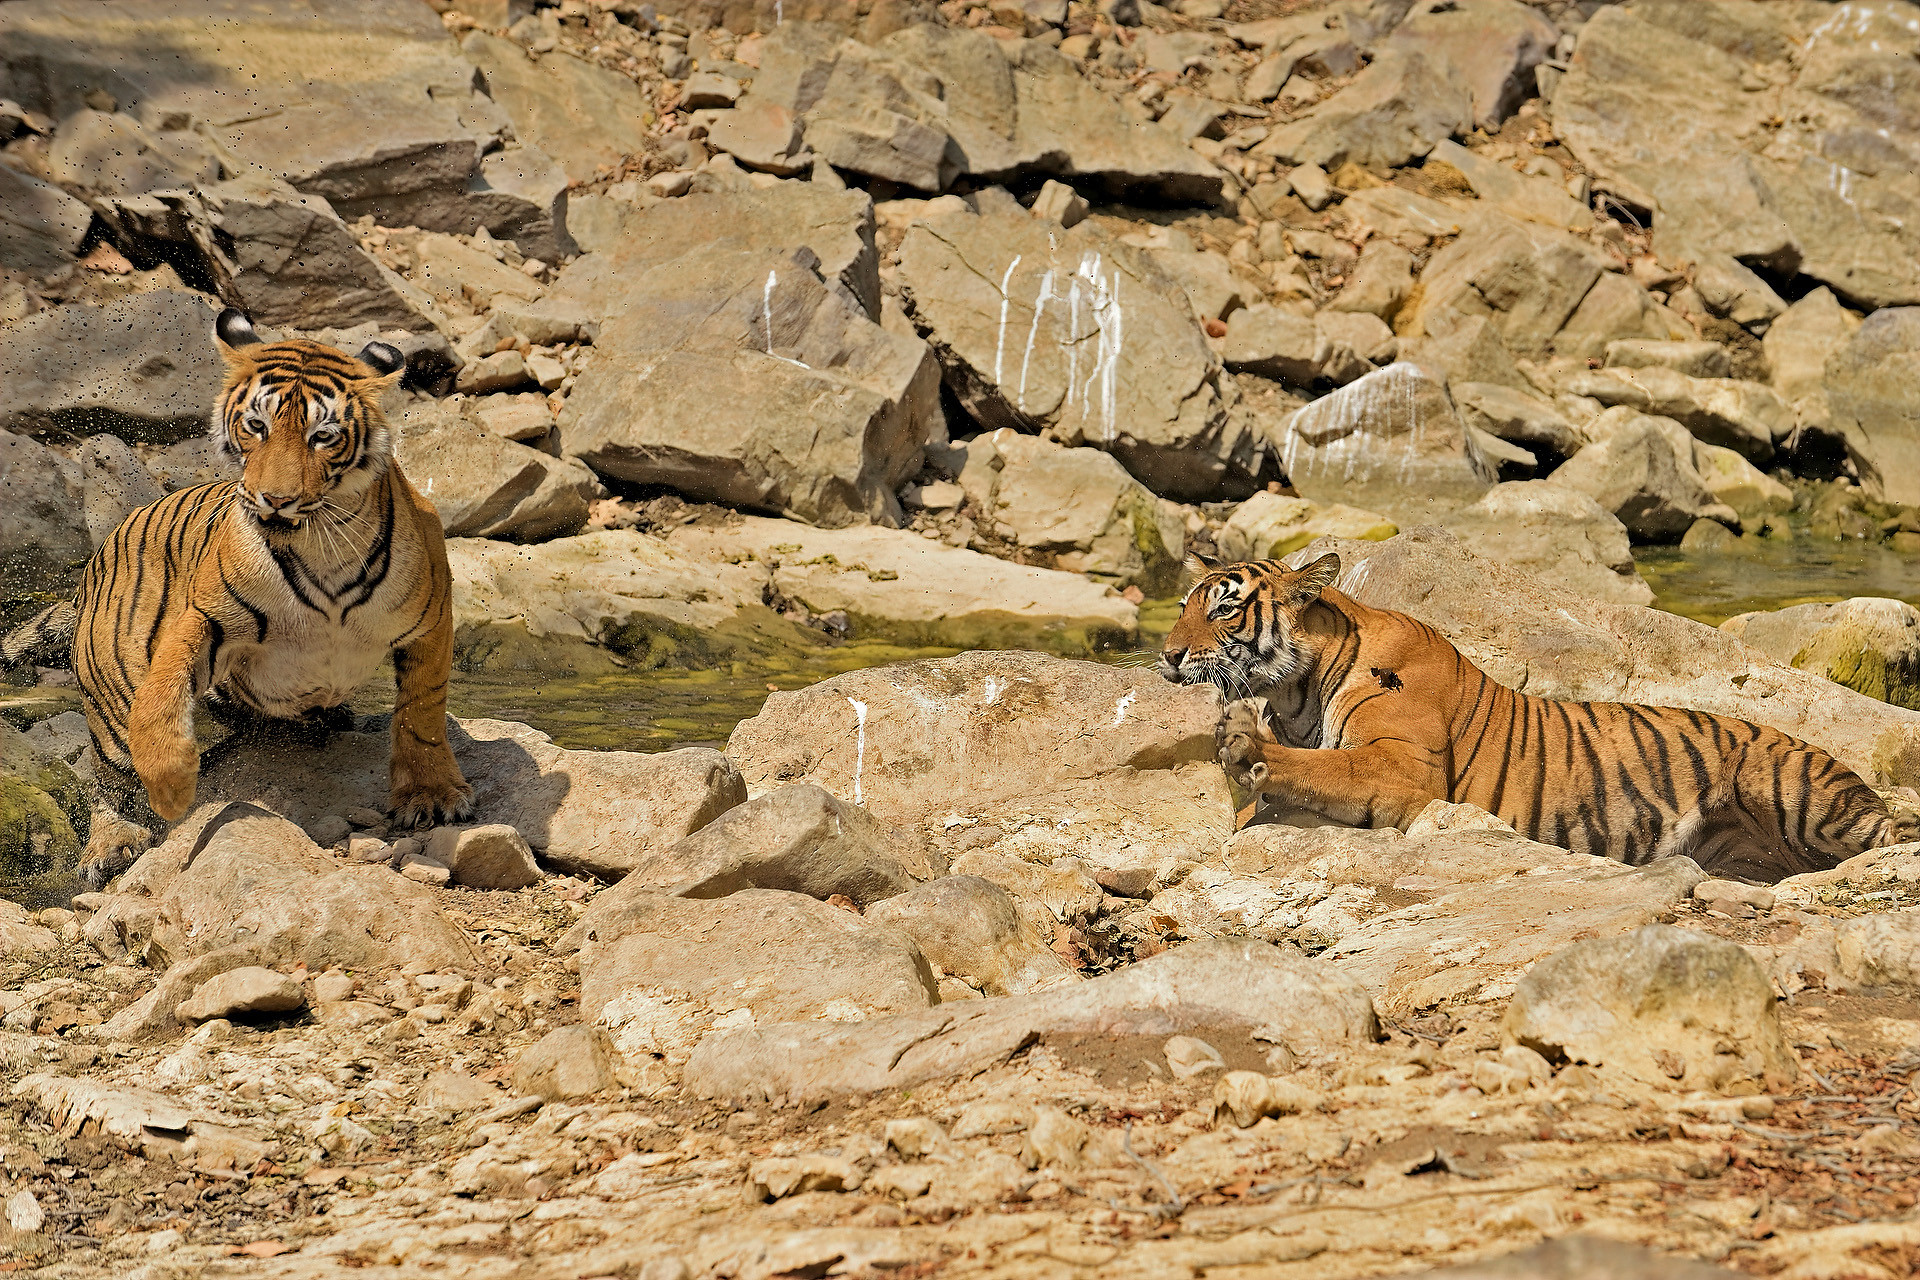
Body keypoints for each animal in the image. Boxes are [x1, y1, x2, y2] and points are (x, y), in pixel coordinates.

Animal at [3, 309, 473, 889]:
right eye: (256, 426)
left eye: (323, 436)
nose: (276, 499)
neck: (321, 546)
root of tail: (91, 568)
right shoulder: (207, 618)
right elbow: (159, 700)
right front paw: (172, 789)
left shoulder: (430, 621)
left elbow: (421, 714)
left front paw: (430, 795)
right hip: (108, 699)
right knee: (105, 774)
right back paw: (110, 845)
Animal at [1159, 552, 1916, 882]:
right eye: (1183, 605)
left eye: (1224, 608)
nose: (1165, 655)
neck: (1299, 690)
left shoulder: (1403, 768)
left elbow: (1319, 767)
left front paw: (1243, 746)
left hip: (1784, 781)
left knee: (1884, 838)